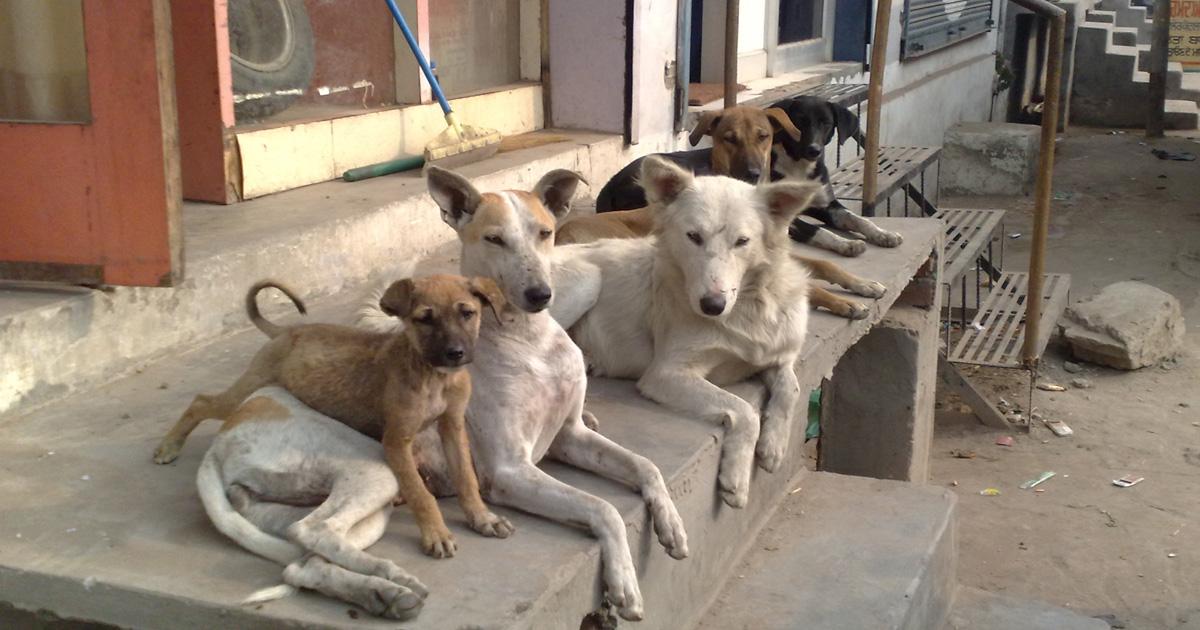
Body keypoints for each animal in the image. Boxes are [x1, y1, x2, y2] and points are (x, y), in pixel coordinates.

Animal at [152, 273, 513, 554]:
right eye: (425, 318)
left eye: (467, 313)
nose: (455, 353)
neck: (432, 376)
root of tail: (284, 332)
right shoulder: (397, 441)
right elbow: (419, 492)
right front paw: (435, 533)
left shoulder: (452, 427)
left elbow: (465, 478)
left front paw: (482, 517)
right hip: (248, 386)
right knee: (201, 402)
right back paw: (168, 447)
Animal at [193, 386, 427, 614]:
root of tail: (216, 445)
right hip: (373, 470)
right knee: (310, 530)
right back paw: (393, 578)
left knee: (302, 564)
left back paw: (382, 594)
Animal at [360, 165, 691, 619]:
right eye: (494, 239)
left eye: (545, 233)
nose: (540, 295)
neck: (529, 341)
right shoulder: (510, 471)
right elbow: (602, 507)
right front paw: (623, 583)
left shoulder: (568, 436)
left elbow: (645, 465)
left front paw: (671, 524)